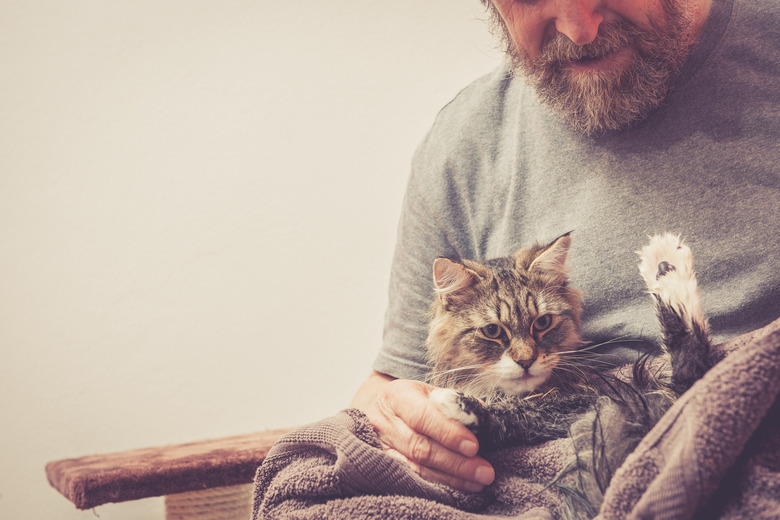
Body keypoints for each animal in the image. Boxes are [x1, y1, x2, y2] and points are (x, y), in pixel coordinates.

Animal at [426, 234, 712, 516]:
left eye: (542, 323)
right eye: (492, 331)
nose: (526, 361)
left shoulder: (579, 402)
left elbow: (519, 413)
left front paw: (460, 404)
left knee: (689, 373)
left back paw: (667, 267)